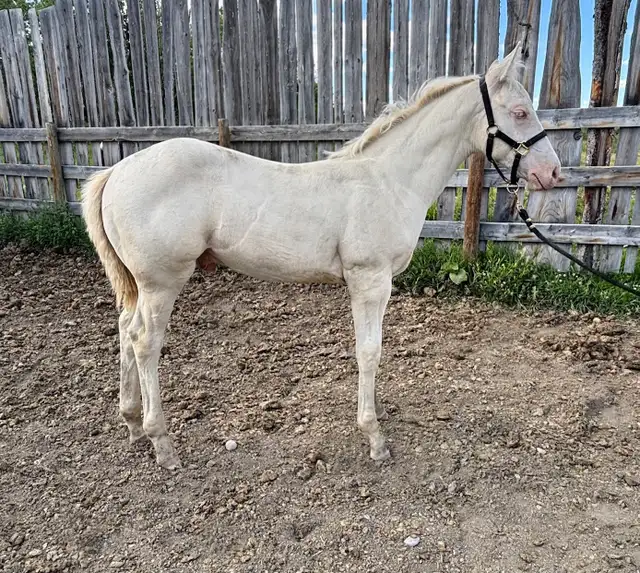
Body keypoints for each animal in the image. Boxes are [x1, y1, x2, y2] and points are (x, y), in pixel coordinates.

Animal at [82, 44, 561, 470]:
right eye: (520, 112)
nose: (553, 172)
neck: (388, 180)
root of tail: (116, 171)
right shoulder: (370, 280)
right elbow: (369, 351)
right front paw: (374, 438)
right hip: (162, 282)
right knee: (144, 342)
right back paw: (162, 444)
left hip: (139, 286)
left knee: (125, 330)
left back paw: (132, 426)